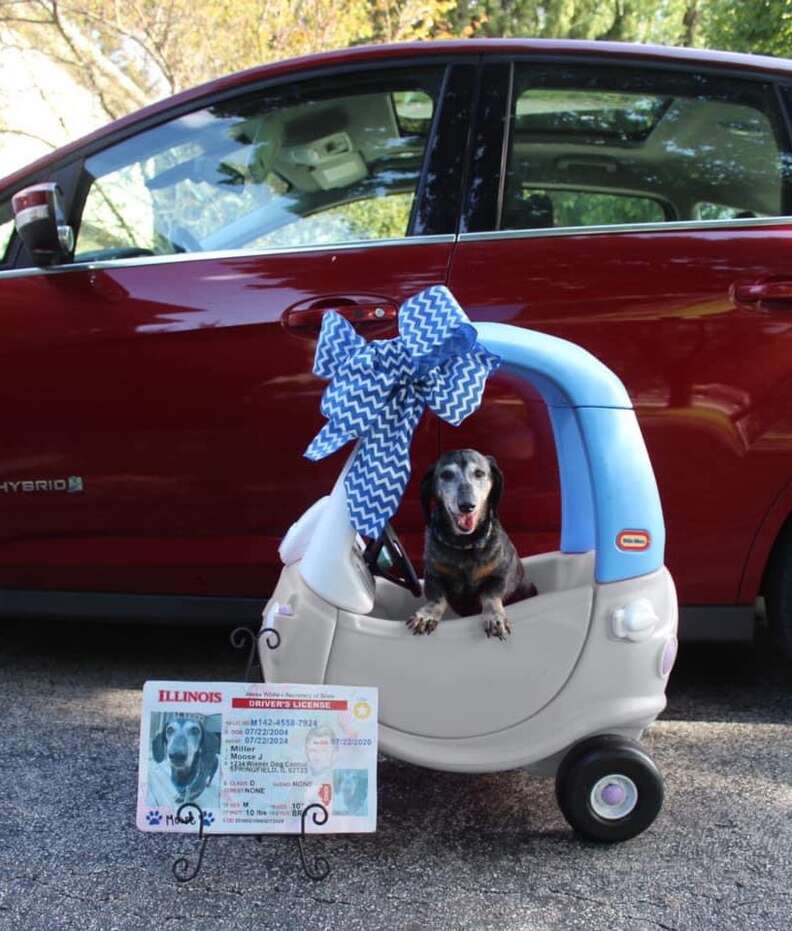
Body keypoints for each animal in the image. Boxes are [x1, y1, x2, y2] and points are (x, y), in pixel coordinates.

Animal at [408, 452, 540, 640]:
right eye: (446, 475)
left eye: (479, 473)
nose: (467, 505)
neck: (465, 544)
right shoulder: (432, 575)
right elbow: (436, 598)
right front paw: (427, 615)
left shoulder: (500, 576)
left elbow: (490, 595)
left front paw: (494, 617)